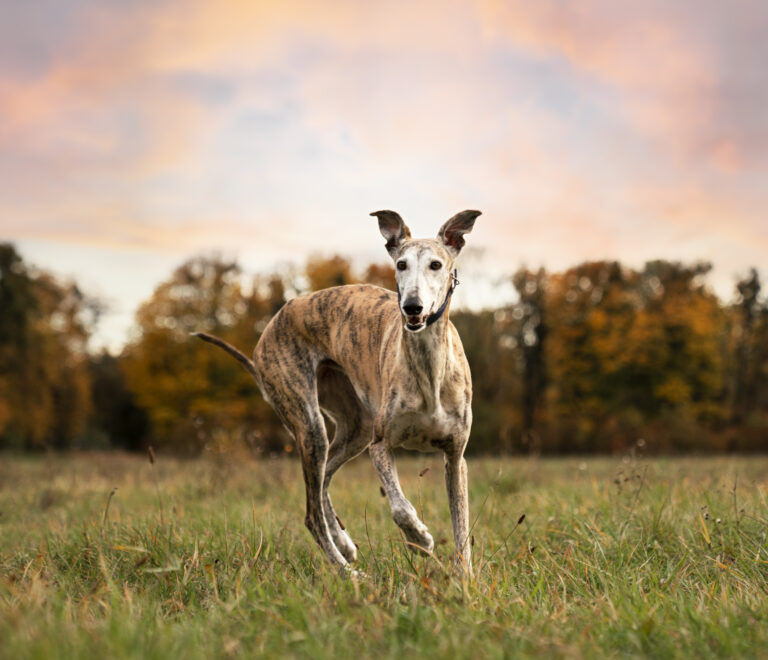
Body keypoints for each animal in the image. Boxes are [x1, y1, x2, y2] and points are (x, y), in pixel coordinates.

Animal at [194, 210, 480, 572]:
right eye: (401, 264)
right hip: (311, 423)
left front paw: (464, 577)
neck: (429, 366)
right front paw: (420, 539)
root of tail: (270, 328)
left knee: (324, 480)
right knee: (311, 512)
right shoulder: (380, 445)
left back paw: (343, 542)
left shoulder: (455, 457)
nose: (412, 307)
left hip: (355, 427)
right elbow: (400, 508)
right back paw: (347, 571)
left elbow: (461, 526)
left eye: (436, 264)